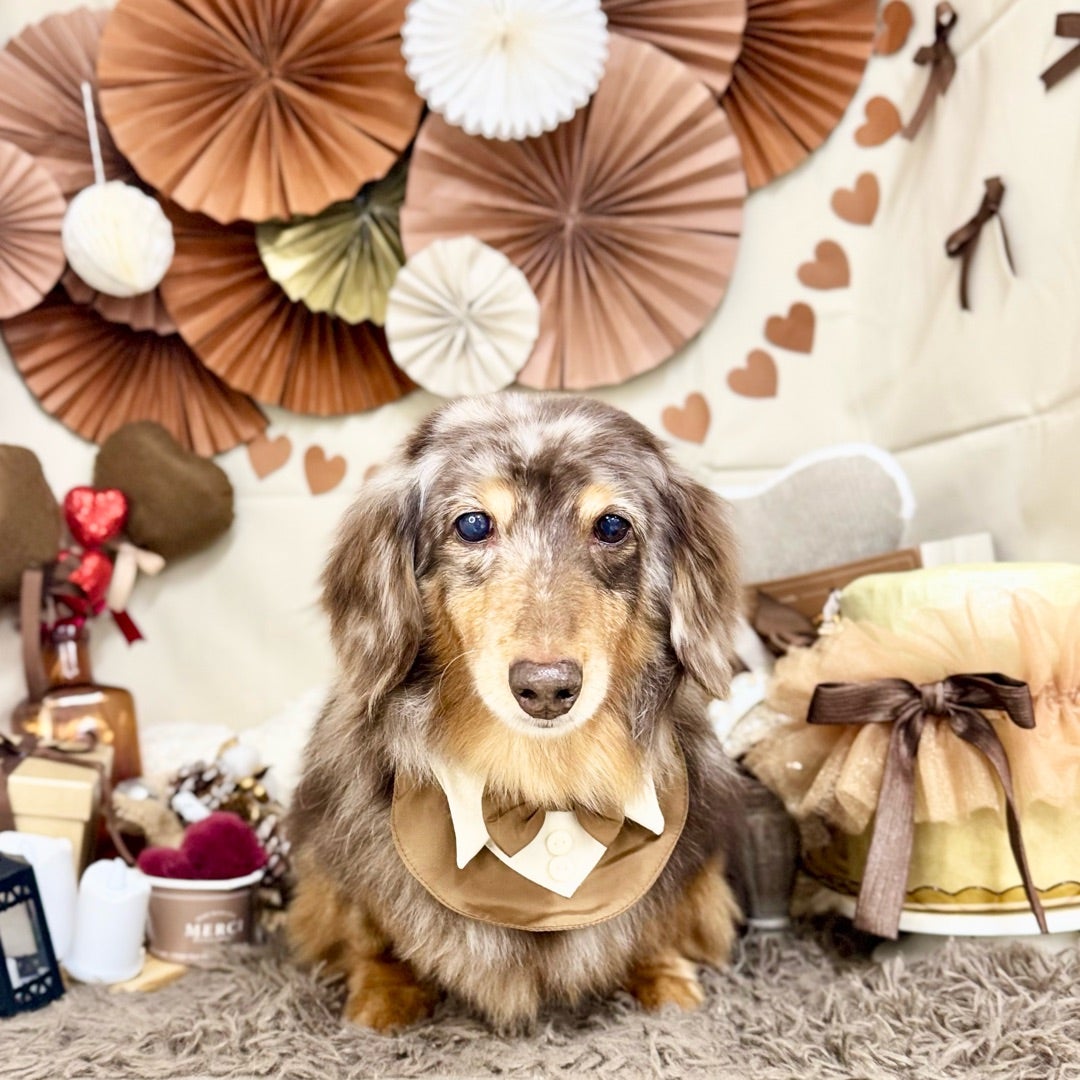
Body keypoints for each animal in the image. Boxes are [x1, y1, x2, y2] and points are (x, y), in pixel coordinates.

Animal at [287, 394, 745, 1031]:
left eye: (612, 525)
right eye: (473, 524)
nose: (547, 689)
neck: (539, 782)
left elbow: (661, 924)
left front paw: (666, 981)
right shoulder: (345, 851)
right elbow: (370, 931)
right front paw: (382, 996)